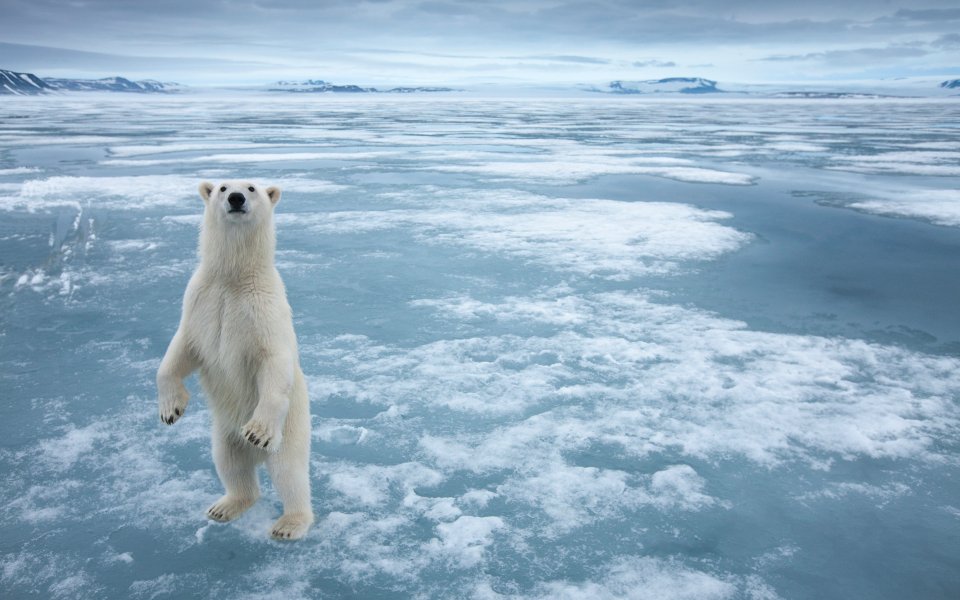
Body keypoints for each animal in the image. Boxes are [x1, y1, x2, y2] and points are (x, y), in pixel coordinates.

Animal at [156, 180, 313, 540]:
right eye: (222, 186)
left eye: (252, 187)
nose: (236, 198)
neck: (233, 278)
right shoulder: (200, 301)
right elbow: (180, 351)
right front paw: (171, 409)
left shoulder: (264, 310)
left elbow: (273, 362)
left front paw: (257, 431)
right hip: (224, 433)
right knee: (230, 464)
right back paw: (225, 506)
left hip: (291, 428)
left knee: (289, 472)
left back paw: (289, 524)